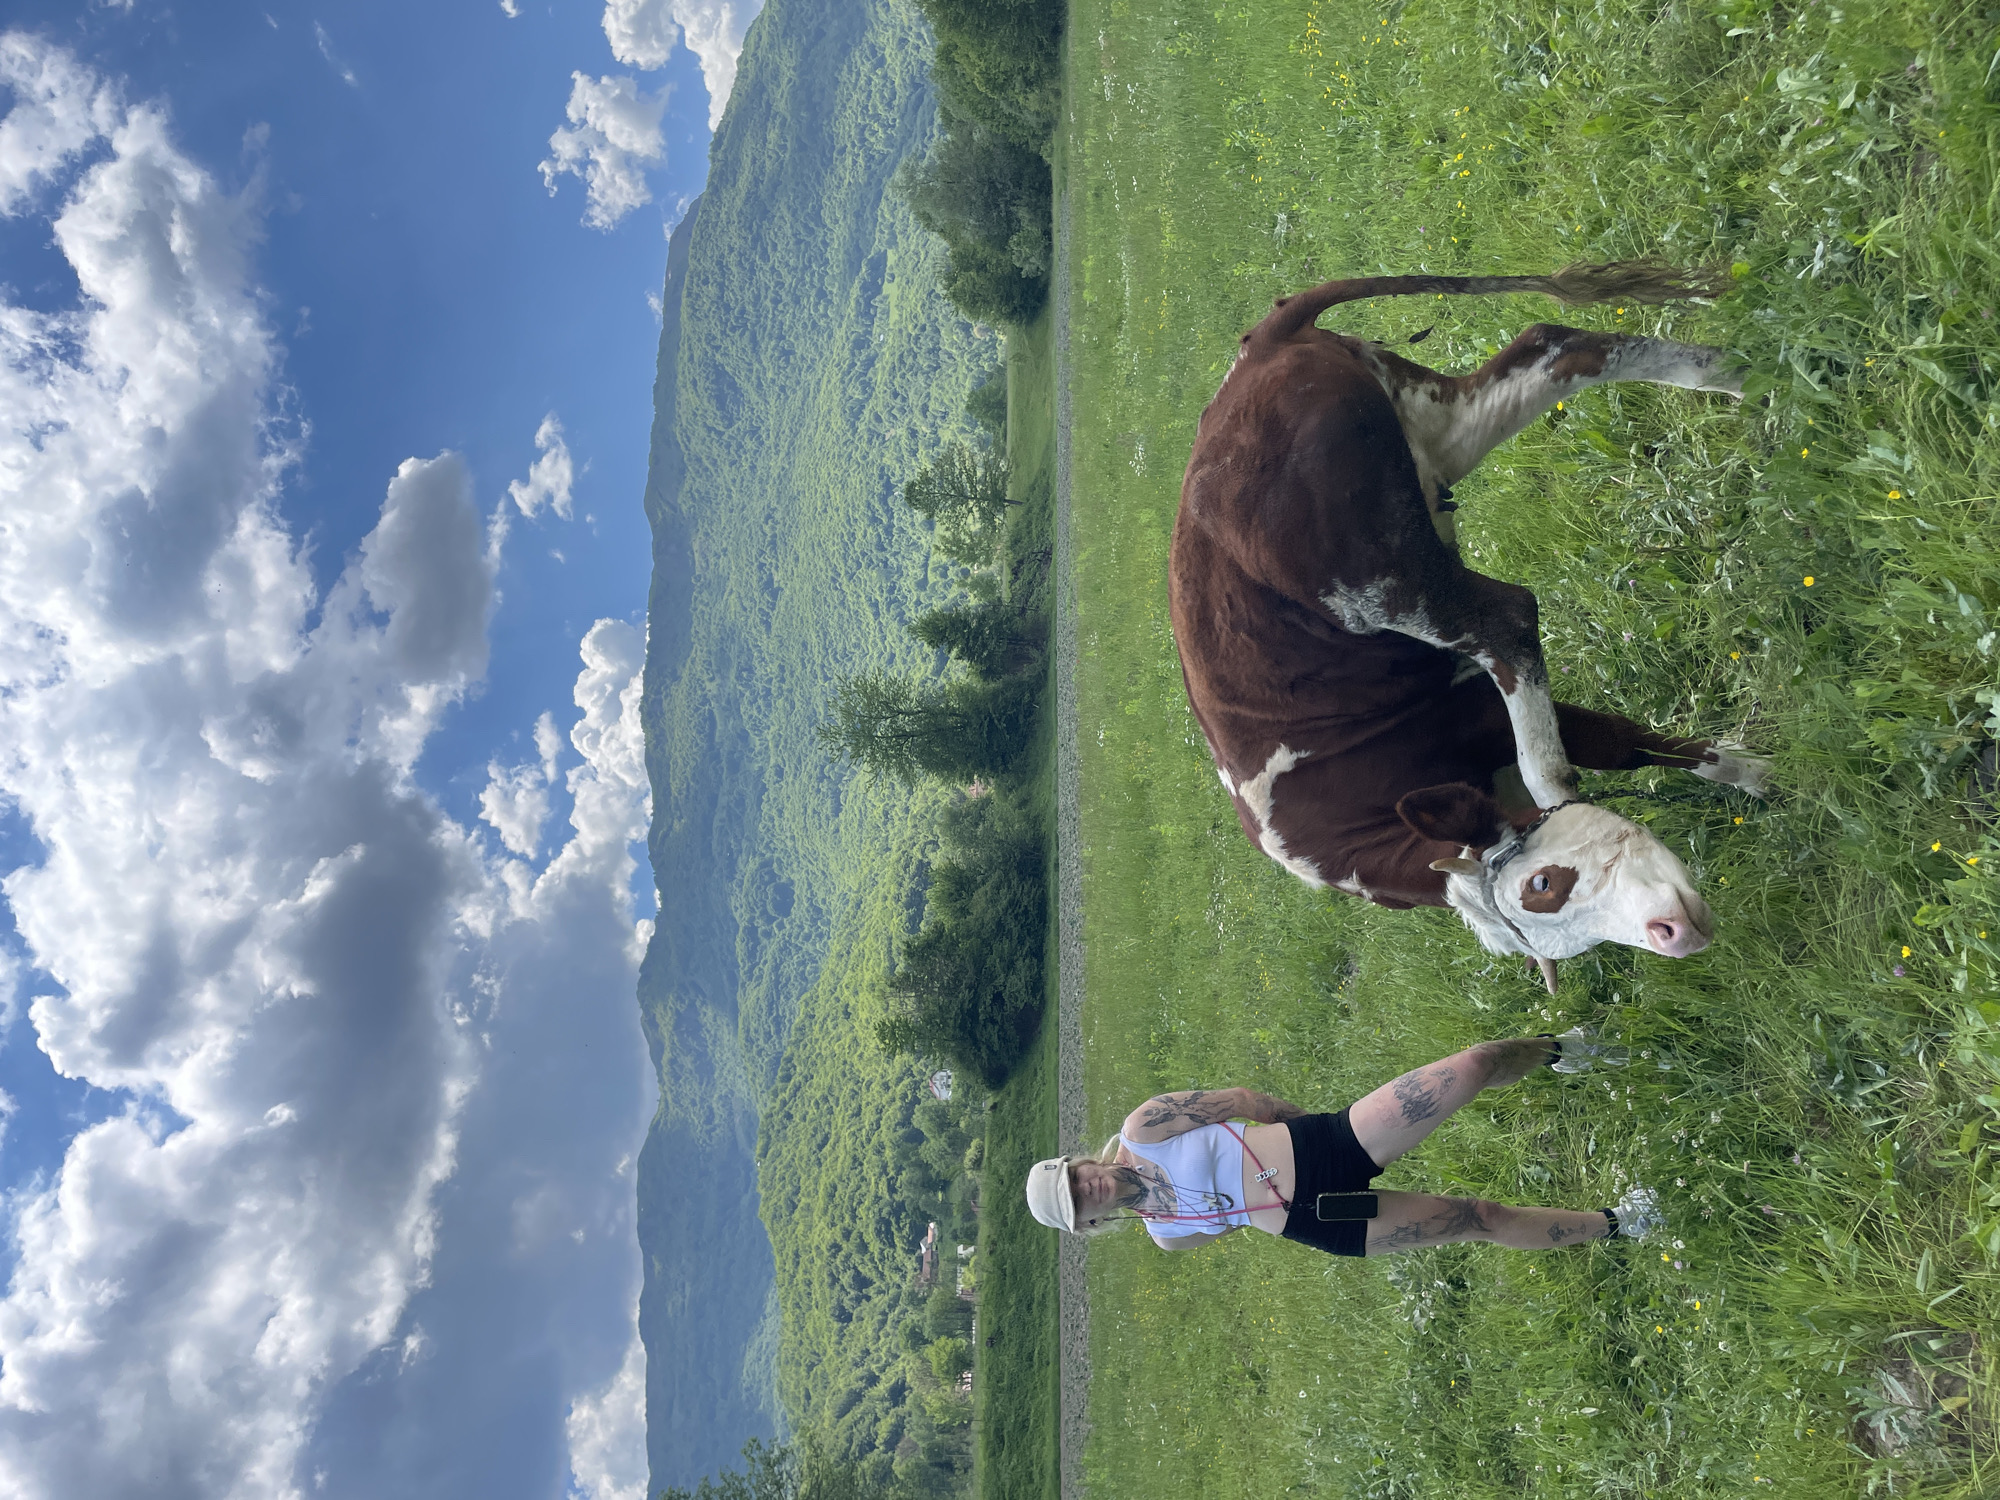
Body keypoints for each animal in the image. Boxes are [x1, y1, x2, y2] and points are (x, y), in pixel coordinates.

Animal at [1168, 263, 1768, 991]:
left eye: (1542, 884)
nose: (1673, 934)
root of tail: (1260, 347)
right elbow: (1627, 744)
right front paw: (1759, 778)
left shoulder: (1468, 715)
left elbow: (1618, 745)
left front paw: (1759, 774)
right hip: (1433, 433)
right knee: (1558, 348)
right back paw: (1740, 374)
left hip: (1387, 580)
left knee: (1505, 620)